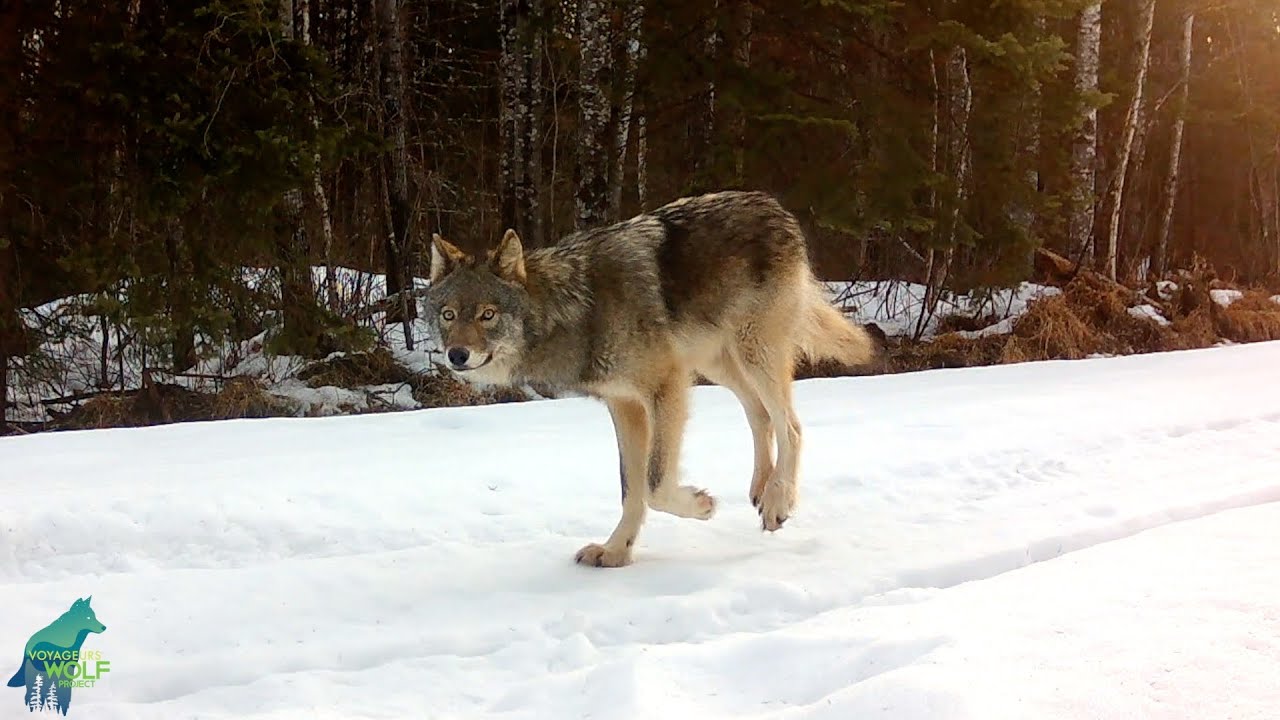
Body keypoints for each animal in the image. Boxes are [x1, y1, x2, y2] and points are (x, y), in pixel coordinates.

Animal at [426, 191, 876, 567]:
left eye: (487, 315)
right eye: (448, 315)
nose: (457, 355)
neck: (576, 308)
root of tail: (773, 205)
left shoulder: (666, 386)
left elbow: (655, 485)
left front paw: (701, 506)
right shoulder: (624, 404)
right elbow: (632, 489)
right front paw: (615, 551)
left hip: (753, 356)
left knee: (791, 426)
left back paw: (778, 500)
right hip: (718, 365)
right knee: (760, 416)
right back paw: (761, 487)